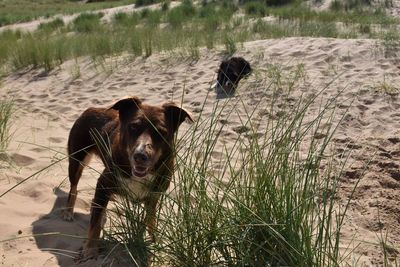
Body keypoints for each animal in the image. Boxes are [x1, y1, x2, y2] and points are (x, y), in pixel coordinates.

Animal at [62, 97, 192, 262]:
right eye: (133, 127)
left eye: (161, 132)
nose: (141, 156)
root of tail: (90, 109)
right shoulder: (102, 185)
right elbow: (94, 225)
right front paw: (90, 249)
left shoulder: (154, 195)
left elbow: (150, 220)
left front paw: (153, 240)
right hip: (76, 160)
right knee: (74, 187)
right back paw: (68, 210)